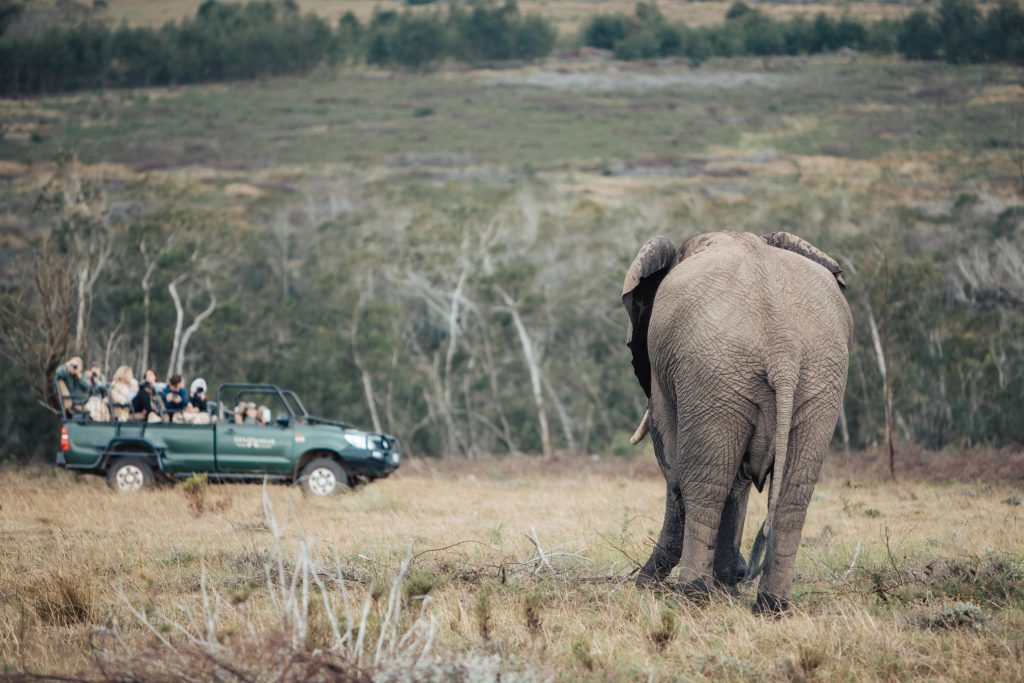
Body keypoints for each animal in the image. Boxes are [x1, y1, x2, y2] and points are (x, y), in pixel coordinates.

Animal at [622, 230, 851, 613]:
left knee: (705, 484)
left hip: (712, 373)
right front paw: (728, 586)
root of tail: (782, 347)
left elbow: (674, 464)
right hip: (815, 379)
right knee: (793, 496)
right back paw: (771, 607)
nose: (743, 572)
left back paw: (692, 597)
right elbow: (739, 477)